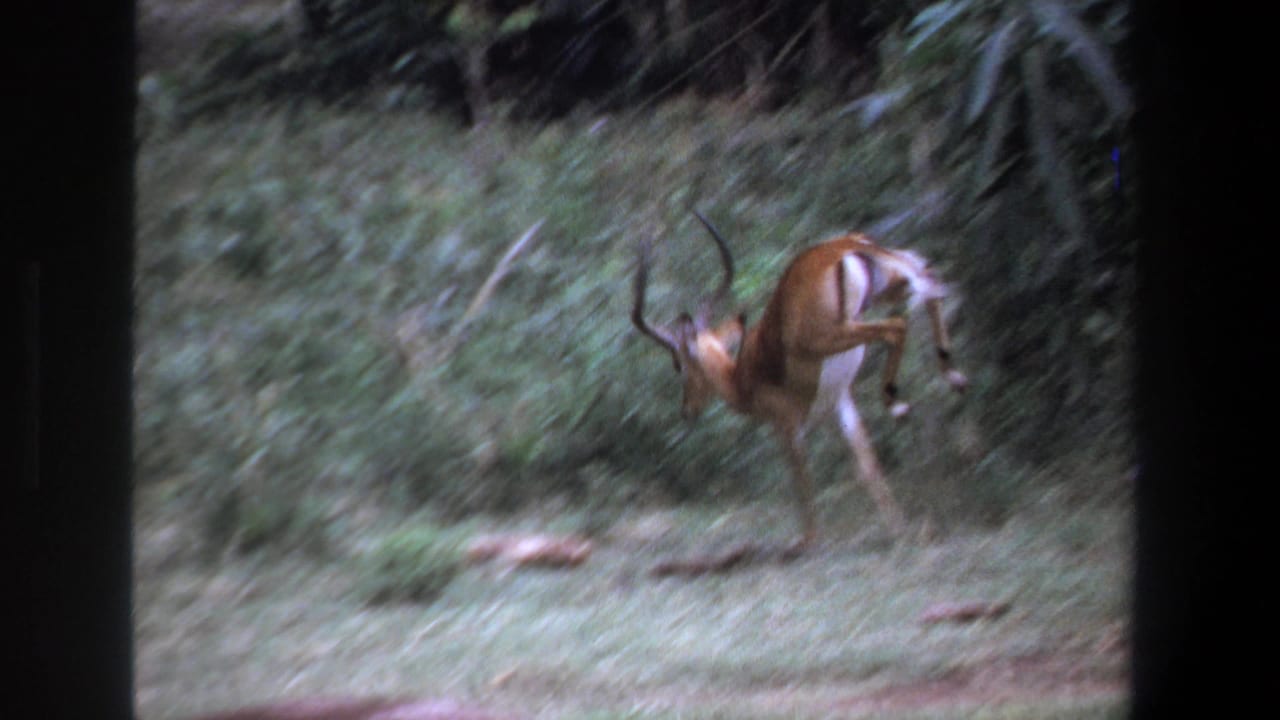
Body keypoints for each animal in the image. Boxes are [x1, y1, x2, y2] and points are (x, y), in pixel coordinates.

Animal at [632, 212, 967, 547]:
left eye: (679, 365)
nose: (686, 409)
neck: (741, 378)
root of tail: (842, 247)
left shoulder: (787, 426)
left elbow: (801, 479)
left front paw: (808, 541)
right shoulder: (839, 405)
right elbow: (866, 466)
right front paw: (900, 530)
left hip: (833, 335)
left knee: (897, 326)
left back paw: (898, 402)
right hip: (888, 290)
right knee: (931, 281)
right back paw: (953, 377)